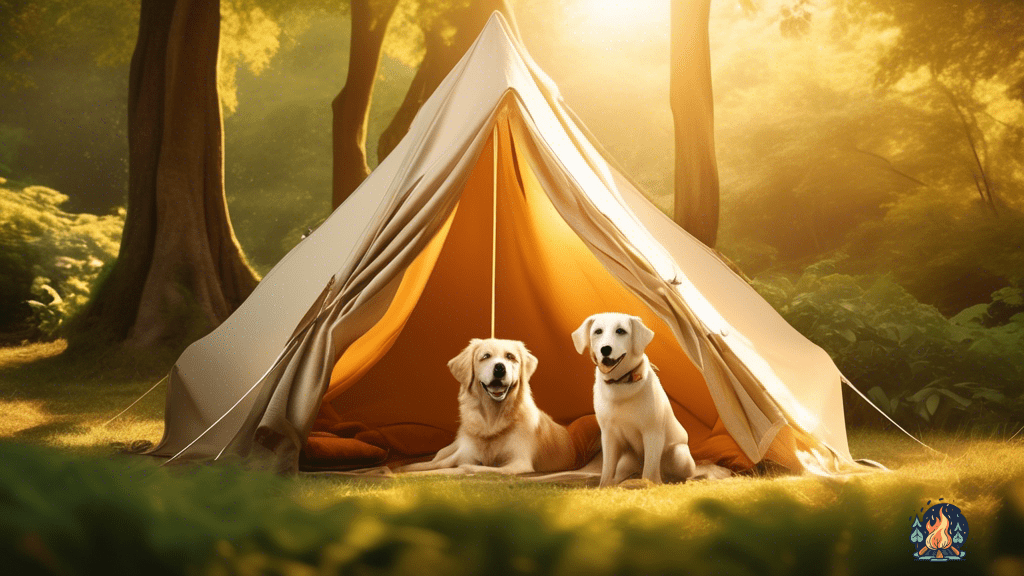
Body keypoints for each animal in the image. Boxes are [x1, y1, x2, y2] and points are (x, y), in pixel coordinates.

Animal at [397, 336, 581, 471]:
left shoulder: (519, 463)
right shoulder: (465, 452)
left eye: (510, 357)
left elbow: (481, 468)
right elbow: (437, 464)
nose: (500, 368)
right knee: (438, 457)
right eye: (485, 356)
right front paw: (405, 469)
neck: (492, 420)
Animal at [577, 313, 729, 483]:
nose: (605, 349)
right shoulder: (609, 435)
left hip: (679, 454)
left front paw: (648, 485)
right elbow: (607, 471)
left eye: (621, 331)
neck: (621, 384)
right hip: (627, 460)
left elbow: (649, 473)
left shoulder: (652, 432)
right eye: (598, 331)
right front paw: (604, 485)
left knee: (682, 476)